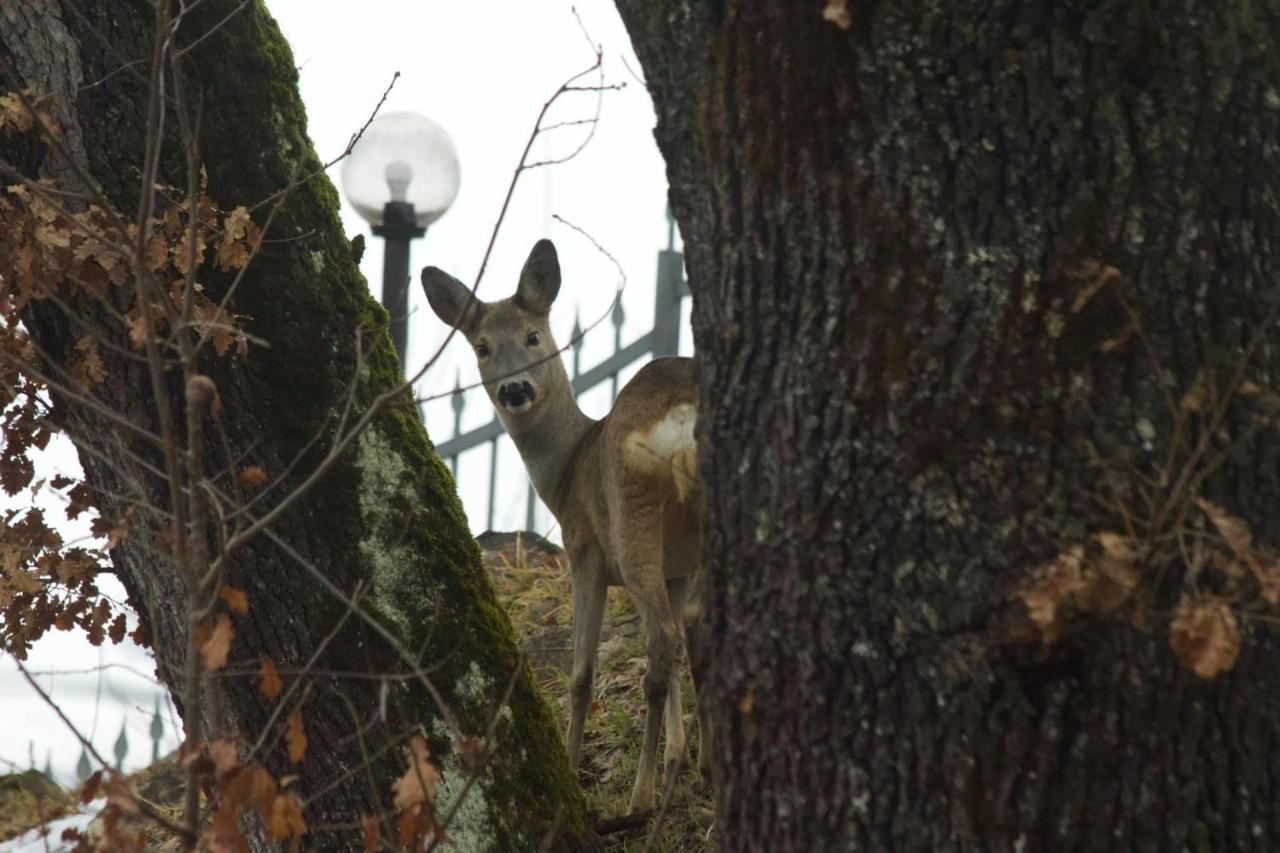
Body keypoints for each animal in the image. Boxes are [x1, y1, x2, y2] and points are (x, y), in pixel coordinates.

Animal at [422, 239, 711, 809]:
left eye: (534, 336)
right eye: (482, 347)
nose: (514, 389)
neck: (569, 466)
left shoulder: (583, 551)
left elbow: (580, 674)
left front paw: (573, 770)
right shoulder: (678, 566)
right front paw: (680, 755)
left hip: (630, 513)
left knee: (660, 640)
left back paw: (640, 799)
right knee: (690, 633)